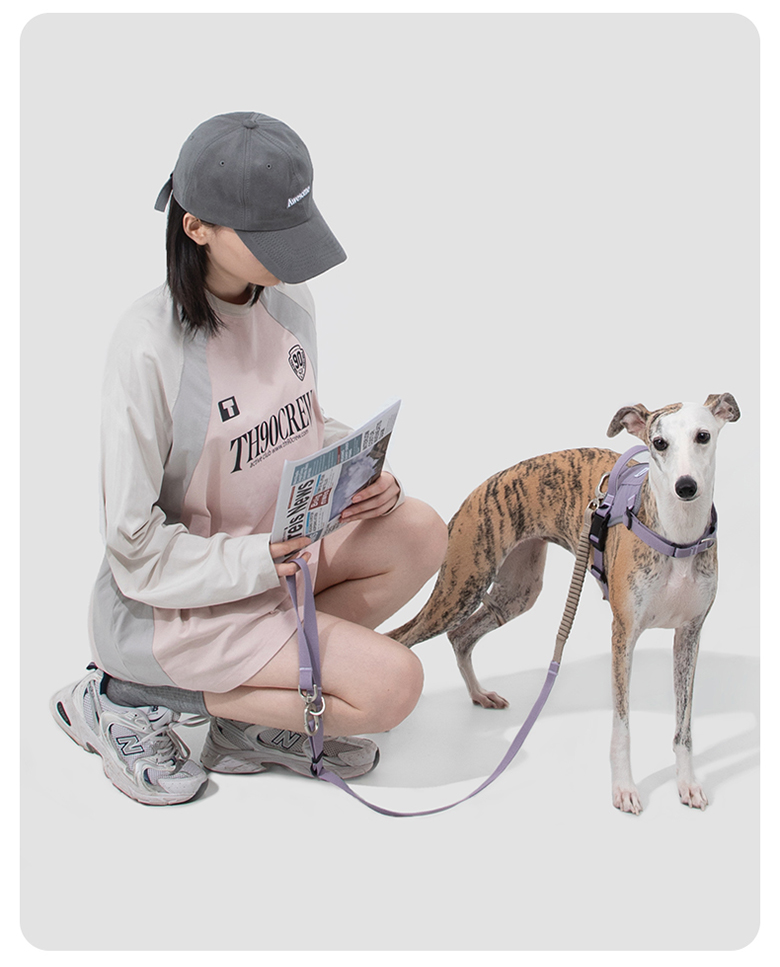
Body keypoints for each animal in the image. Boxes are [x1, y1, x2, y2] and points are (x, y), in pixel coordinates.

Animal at [390, 394, 740, 814]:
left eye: (703, 436)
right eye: (659, 443)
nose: (685, 487)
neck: (677, 539)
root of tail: (480, 488)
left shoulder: (689, 635)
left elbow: (683, 726)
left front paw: (687, 785)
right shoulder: (623, 634)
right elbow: (622, 726)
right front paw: (624, 789)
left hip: (515, 593)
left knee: (460, 636)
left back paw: (479, 695)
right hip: (461, 586)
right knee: (401, 638)